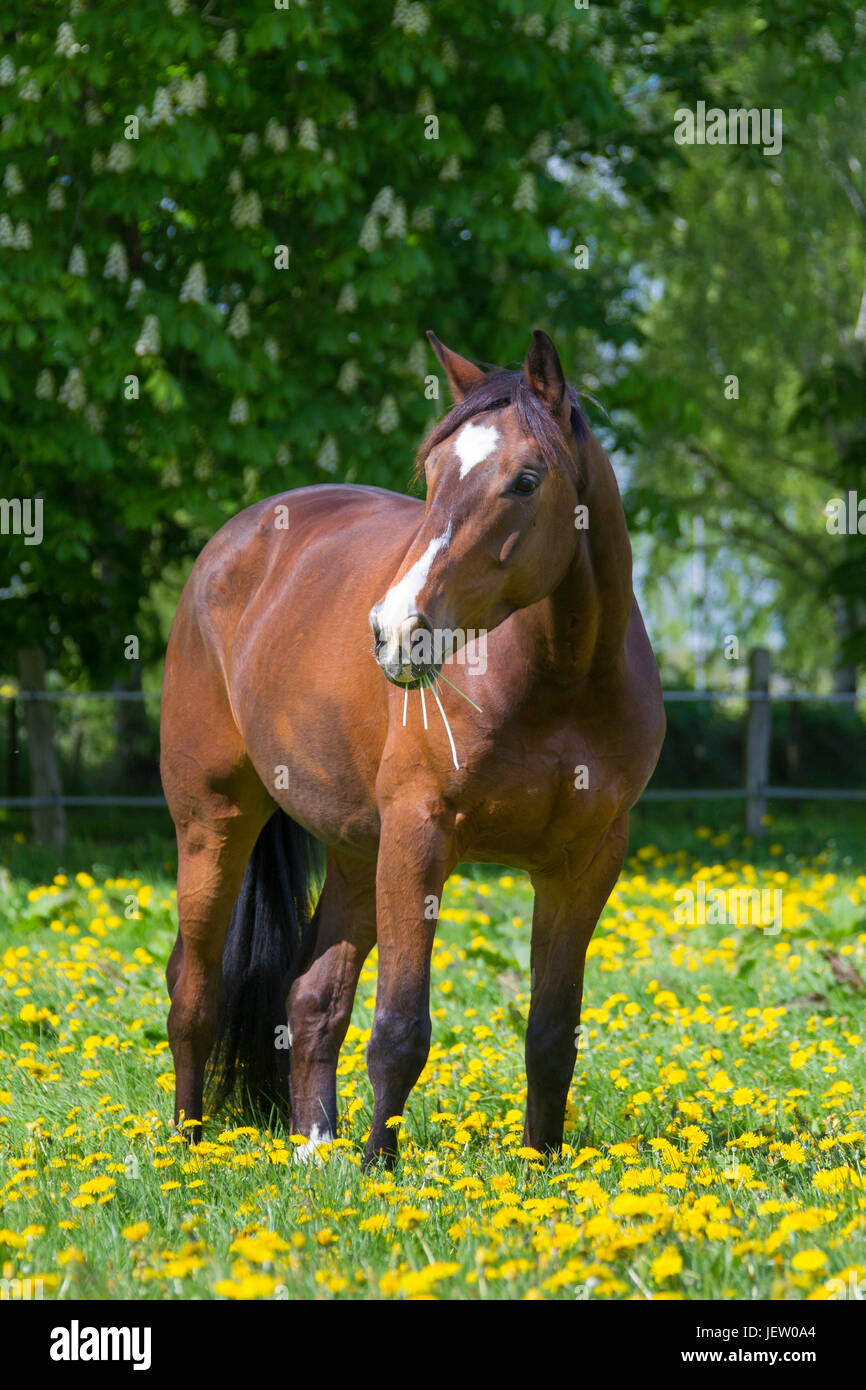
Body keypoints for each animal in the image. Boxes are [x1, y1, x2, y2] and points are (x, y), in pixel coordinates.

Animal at [161, 330, 664, 1167]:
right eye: (431, 477)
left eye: (526, 480)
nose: (395, 630)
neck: (559, 679)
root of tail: (232, 546)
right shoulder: (420, 836)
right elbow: (399, 1028)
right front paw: (380, 1171)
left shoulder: (585, 864)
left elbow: (551, 1035)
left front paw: (541, 1167)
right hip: (215, 824)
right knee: (193, 991)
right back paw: (186, 1149)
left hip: (357, 852)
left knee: (311, 997)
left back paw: (314, 1149)